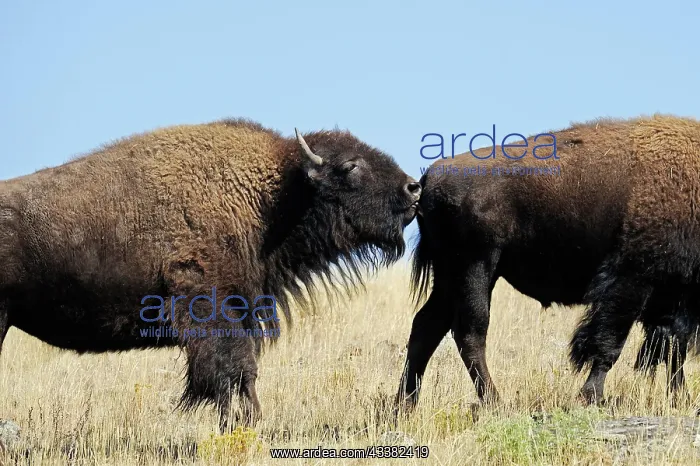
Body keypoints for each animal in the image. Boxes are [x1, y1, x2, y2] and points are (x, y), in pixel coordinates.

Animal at [0, 118, 422, 431]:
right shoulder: (214, 311)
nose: (413, 188)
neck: (272, 196)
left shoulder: (244, 313)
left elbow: (242, 373)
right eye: (351, 166)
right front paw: (242, 424)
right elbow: (232, 371)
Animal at [395, 114, 700, 415]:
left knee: (427, 327)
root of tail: (431, 177)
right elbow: (609, 342)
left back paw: (404, 405)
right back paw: (495, 402)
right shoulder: (631, 282)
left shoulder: (672, 297)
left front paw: (680, 398)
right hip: (476, 266)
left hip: (451, 276)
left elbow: (673, 347)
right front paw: (592, 396)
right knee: (469, 331)